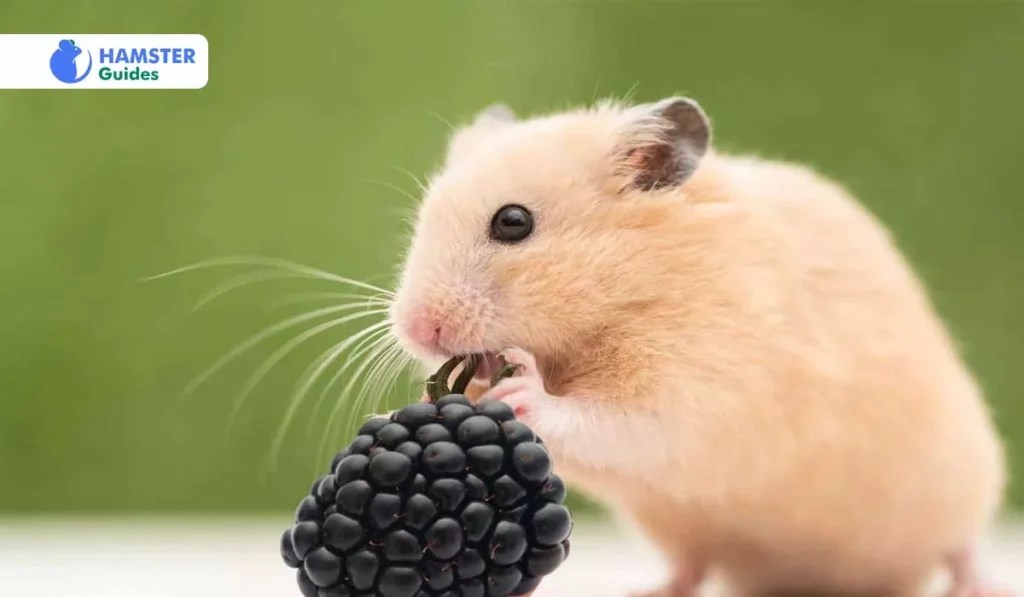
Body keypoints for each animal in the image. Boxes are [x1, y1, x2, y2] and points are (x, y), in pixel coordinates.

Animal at [388, 97, 1007, 596]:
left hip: (962, 474)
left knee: (961, 545)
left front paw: (521, 387)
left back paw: (978, 586)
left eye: (513, 222)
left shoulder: (699, 388)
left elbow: (613, 420)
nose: (418, 329)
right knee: (691, 568)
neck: (626, 294)